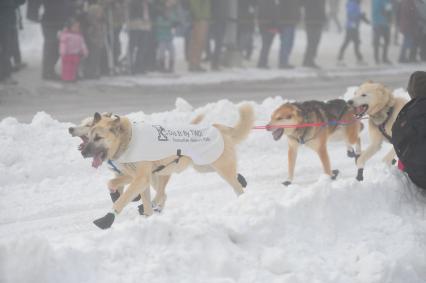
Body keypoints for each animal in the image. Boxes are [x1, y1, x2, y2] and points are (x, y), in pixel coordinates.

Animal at [79, 104, 253, 231]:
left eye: (98, 138)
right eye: (89, 136)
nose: (82, 152)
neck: (128, 140)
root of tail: (217, 127)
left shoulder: (141, 178)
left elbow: (121, 200)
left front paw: (107, 219)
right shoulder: (140, 179)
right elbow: (113, 184)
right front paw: (147, 219)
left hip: (219, 167)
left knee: (236, 187)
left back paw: (242, 199)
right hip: (202, 166)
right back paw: (242, 179)